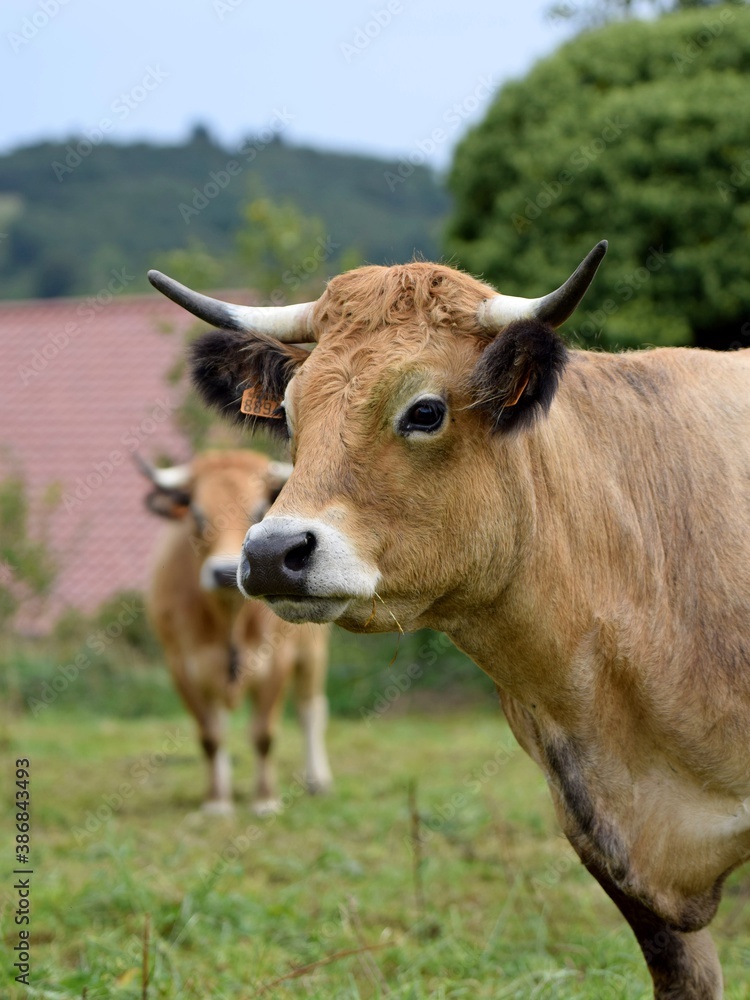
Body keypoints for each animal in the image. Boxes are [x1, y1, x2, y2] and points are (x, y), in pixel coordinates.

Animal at [139, 452, 332, 812]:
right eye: (197, 514)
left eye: (258, 511)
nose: (225, 571)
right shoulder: (182, 667)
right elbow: (210, 735)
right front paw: (216, 801)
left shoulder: (277, 660)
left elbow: (264, 733)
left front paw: (265, 799)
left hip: (313, 652)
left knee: (310, 709)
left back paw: (318, 781)